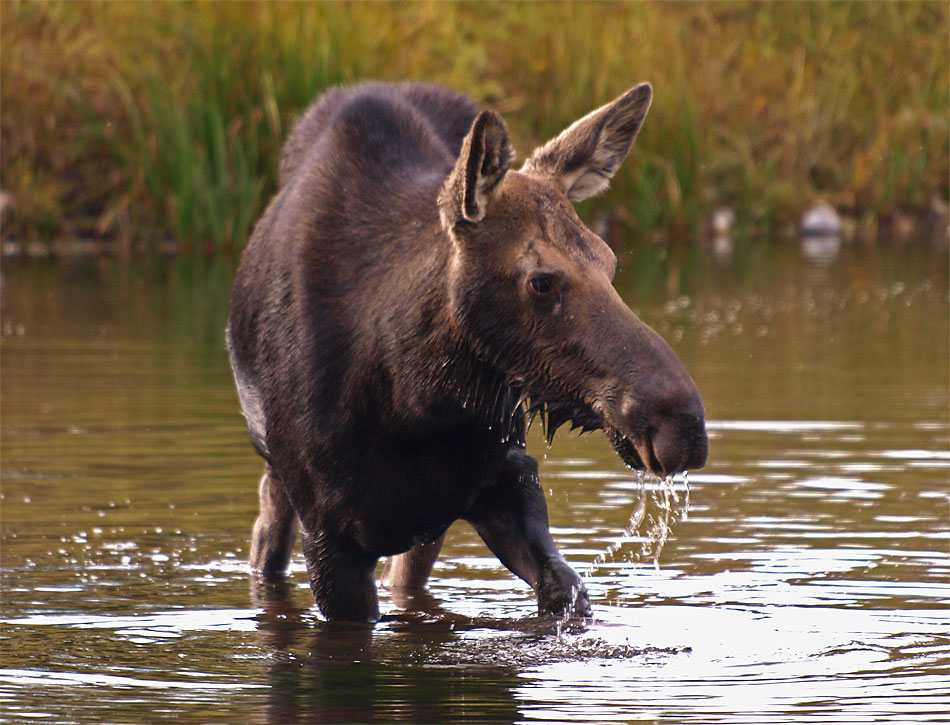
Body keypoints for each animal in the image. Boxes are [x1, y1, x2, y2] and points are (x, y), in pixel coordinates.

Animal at [229, 80, 708, 624]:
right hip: (282, 479)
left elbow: (565, 591)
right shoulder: (330, 538)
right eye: (541, 281)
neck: (410, 400)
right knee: (265, 543)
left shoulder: (507, 478)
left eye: (608, 262)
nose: (682, 425)